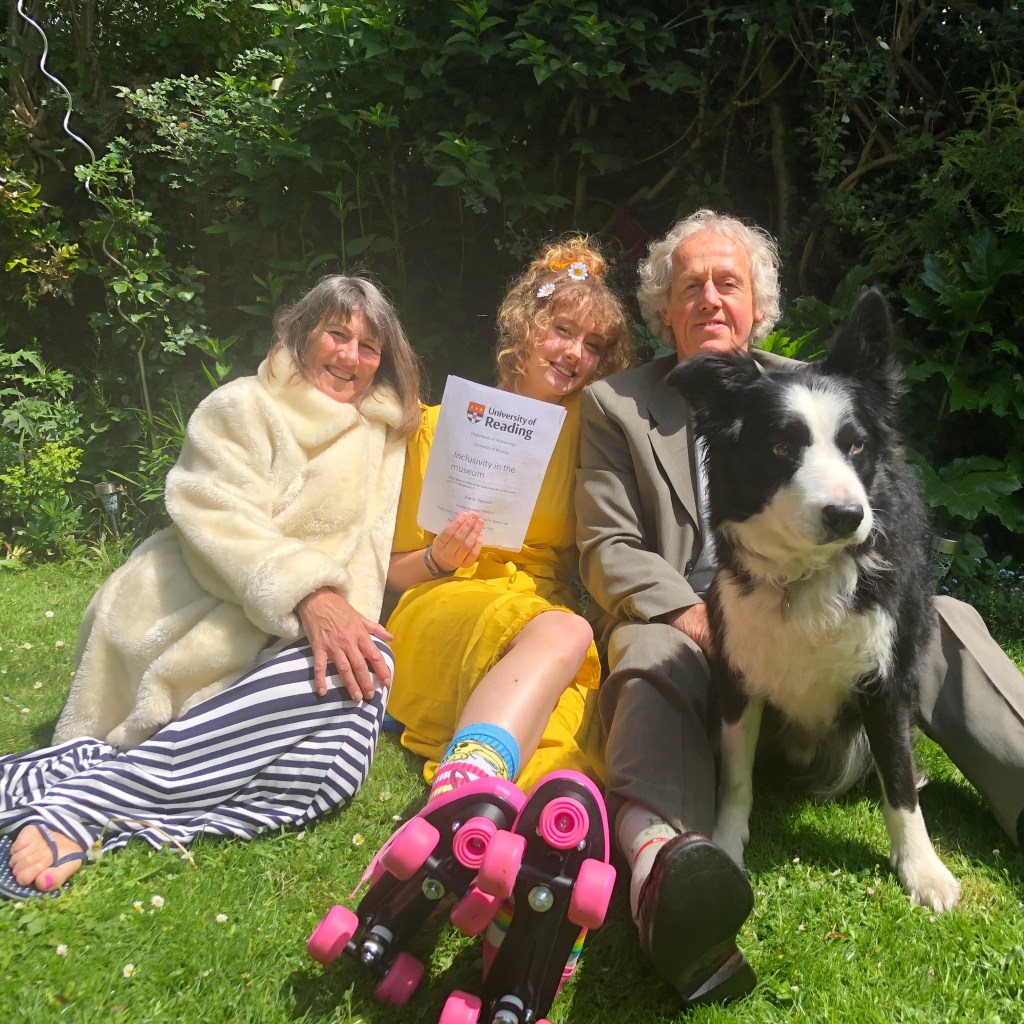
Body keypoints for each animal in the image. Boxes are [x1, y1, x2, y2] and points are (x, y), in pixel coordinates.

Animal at [668, 288, 960, 913]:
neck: (804, 575)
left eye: (857, 445)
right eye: (781, 446)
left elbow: (900, 782)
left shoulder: (886, 679)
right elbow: (735, 778)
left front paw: (923, 871)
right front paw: (725, 847)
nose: (847, 515)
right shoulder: (738, 676)